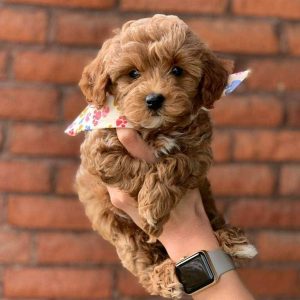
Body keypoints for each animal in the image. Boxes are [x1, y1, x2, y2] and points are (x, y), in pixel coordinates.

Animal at [75, 13, 255, 298]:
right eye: (133, 73)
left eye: (177, 70)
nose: (154, 99)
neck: (157, 129)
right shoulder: (100, 152)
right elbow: (134, 168)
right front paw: (149, 211)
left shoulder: (199, 152)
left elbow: (175, 162)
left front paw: (152, 203)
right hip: (123, 234)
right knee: (142, 261)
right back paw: (164, 275)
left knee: (214, 218)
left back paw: (232, 239)